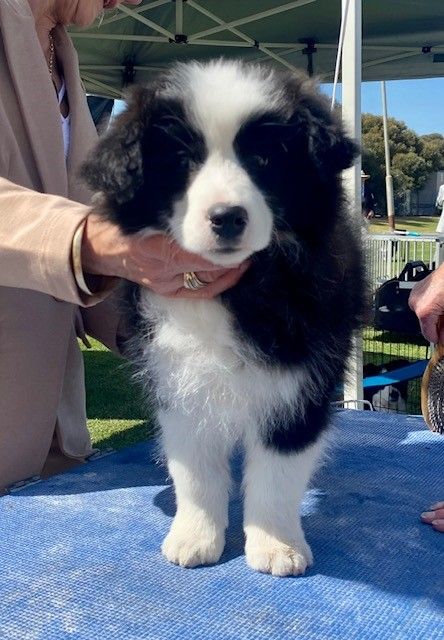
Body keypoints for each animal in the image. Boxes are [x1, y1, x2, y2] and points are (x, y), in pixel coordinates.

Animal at [81, 60, 366, 577]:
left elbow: (278, 471)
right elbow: (194, 471)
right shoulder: (178, 379)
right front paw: (195, 537)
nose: (228, 217)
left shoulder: (300, 378)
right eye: (181, 160)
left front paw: (276, 545)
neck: (236, 289)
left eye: (265, 159)